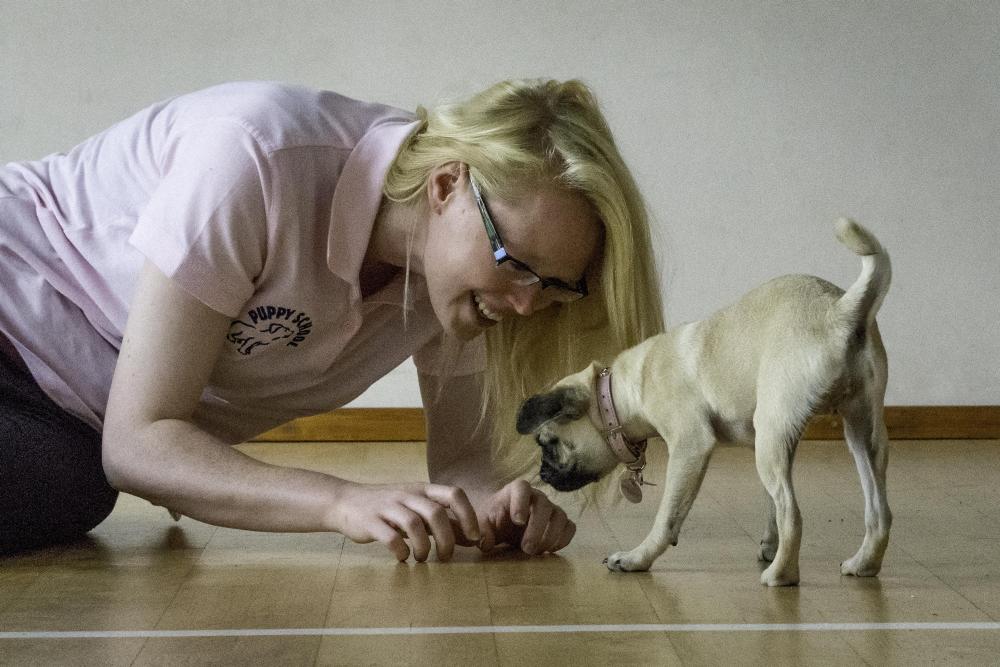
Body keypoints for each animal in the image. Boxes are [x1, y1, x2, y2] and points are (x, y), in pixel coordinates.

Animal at [516, 219, 892, 584]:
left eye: (548, 443)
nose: (543, 474)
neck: (620, 392)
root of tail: (840, 312)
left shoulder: (690, 448)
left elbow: (668, 518)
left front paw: (637, 558)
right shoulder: (773, 445)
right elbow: (768, 505)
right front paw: (768, 545)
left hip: (772, 437)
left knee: (792, 513)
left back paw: (781, 574)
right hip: (859, 434)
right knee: (878, 512)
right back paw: (863, 564)